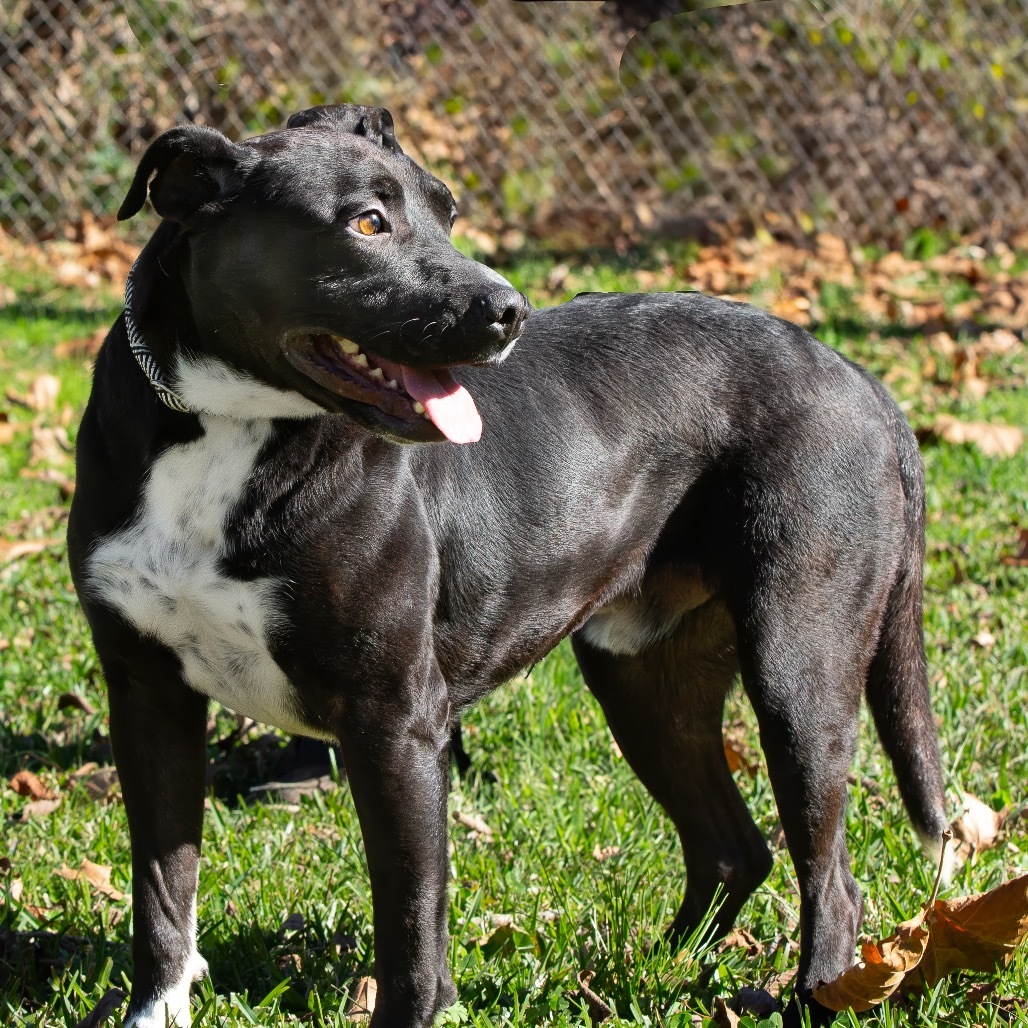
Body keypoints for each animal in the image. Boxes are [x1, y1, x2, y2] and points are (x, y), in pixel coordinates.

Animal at [68, 106, 941, 1028]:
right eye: (366, 223)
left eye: (446, 211)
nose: (509, 311)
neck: (223, 426)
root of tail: (860, 377)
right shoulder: (148, 696)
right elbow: (163, 891)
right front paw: (155, 1010)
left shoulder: (396, 722)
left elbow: (411, 923)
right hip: (643, 679)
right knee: (733, 847)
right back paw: (662, 965)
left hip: (797, 671)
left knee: (831, 878)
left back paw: (810, 995)